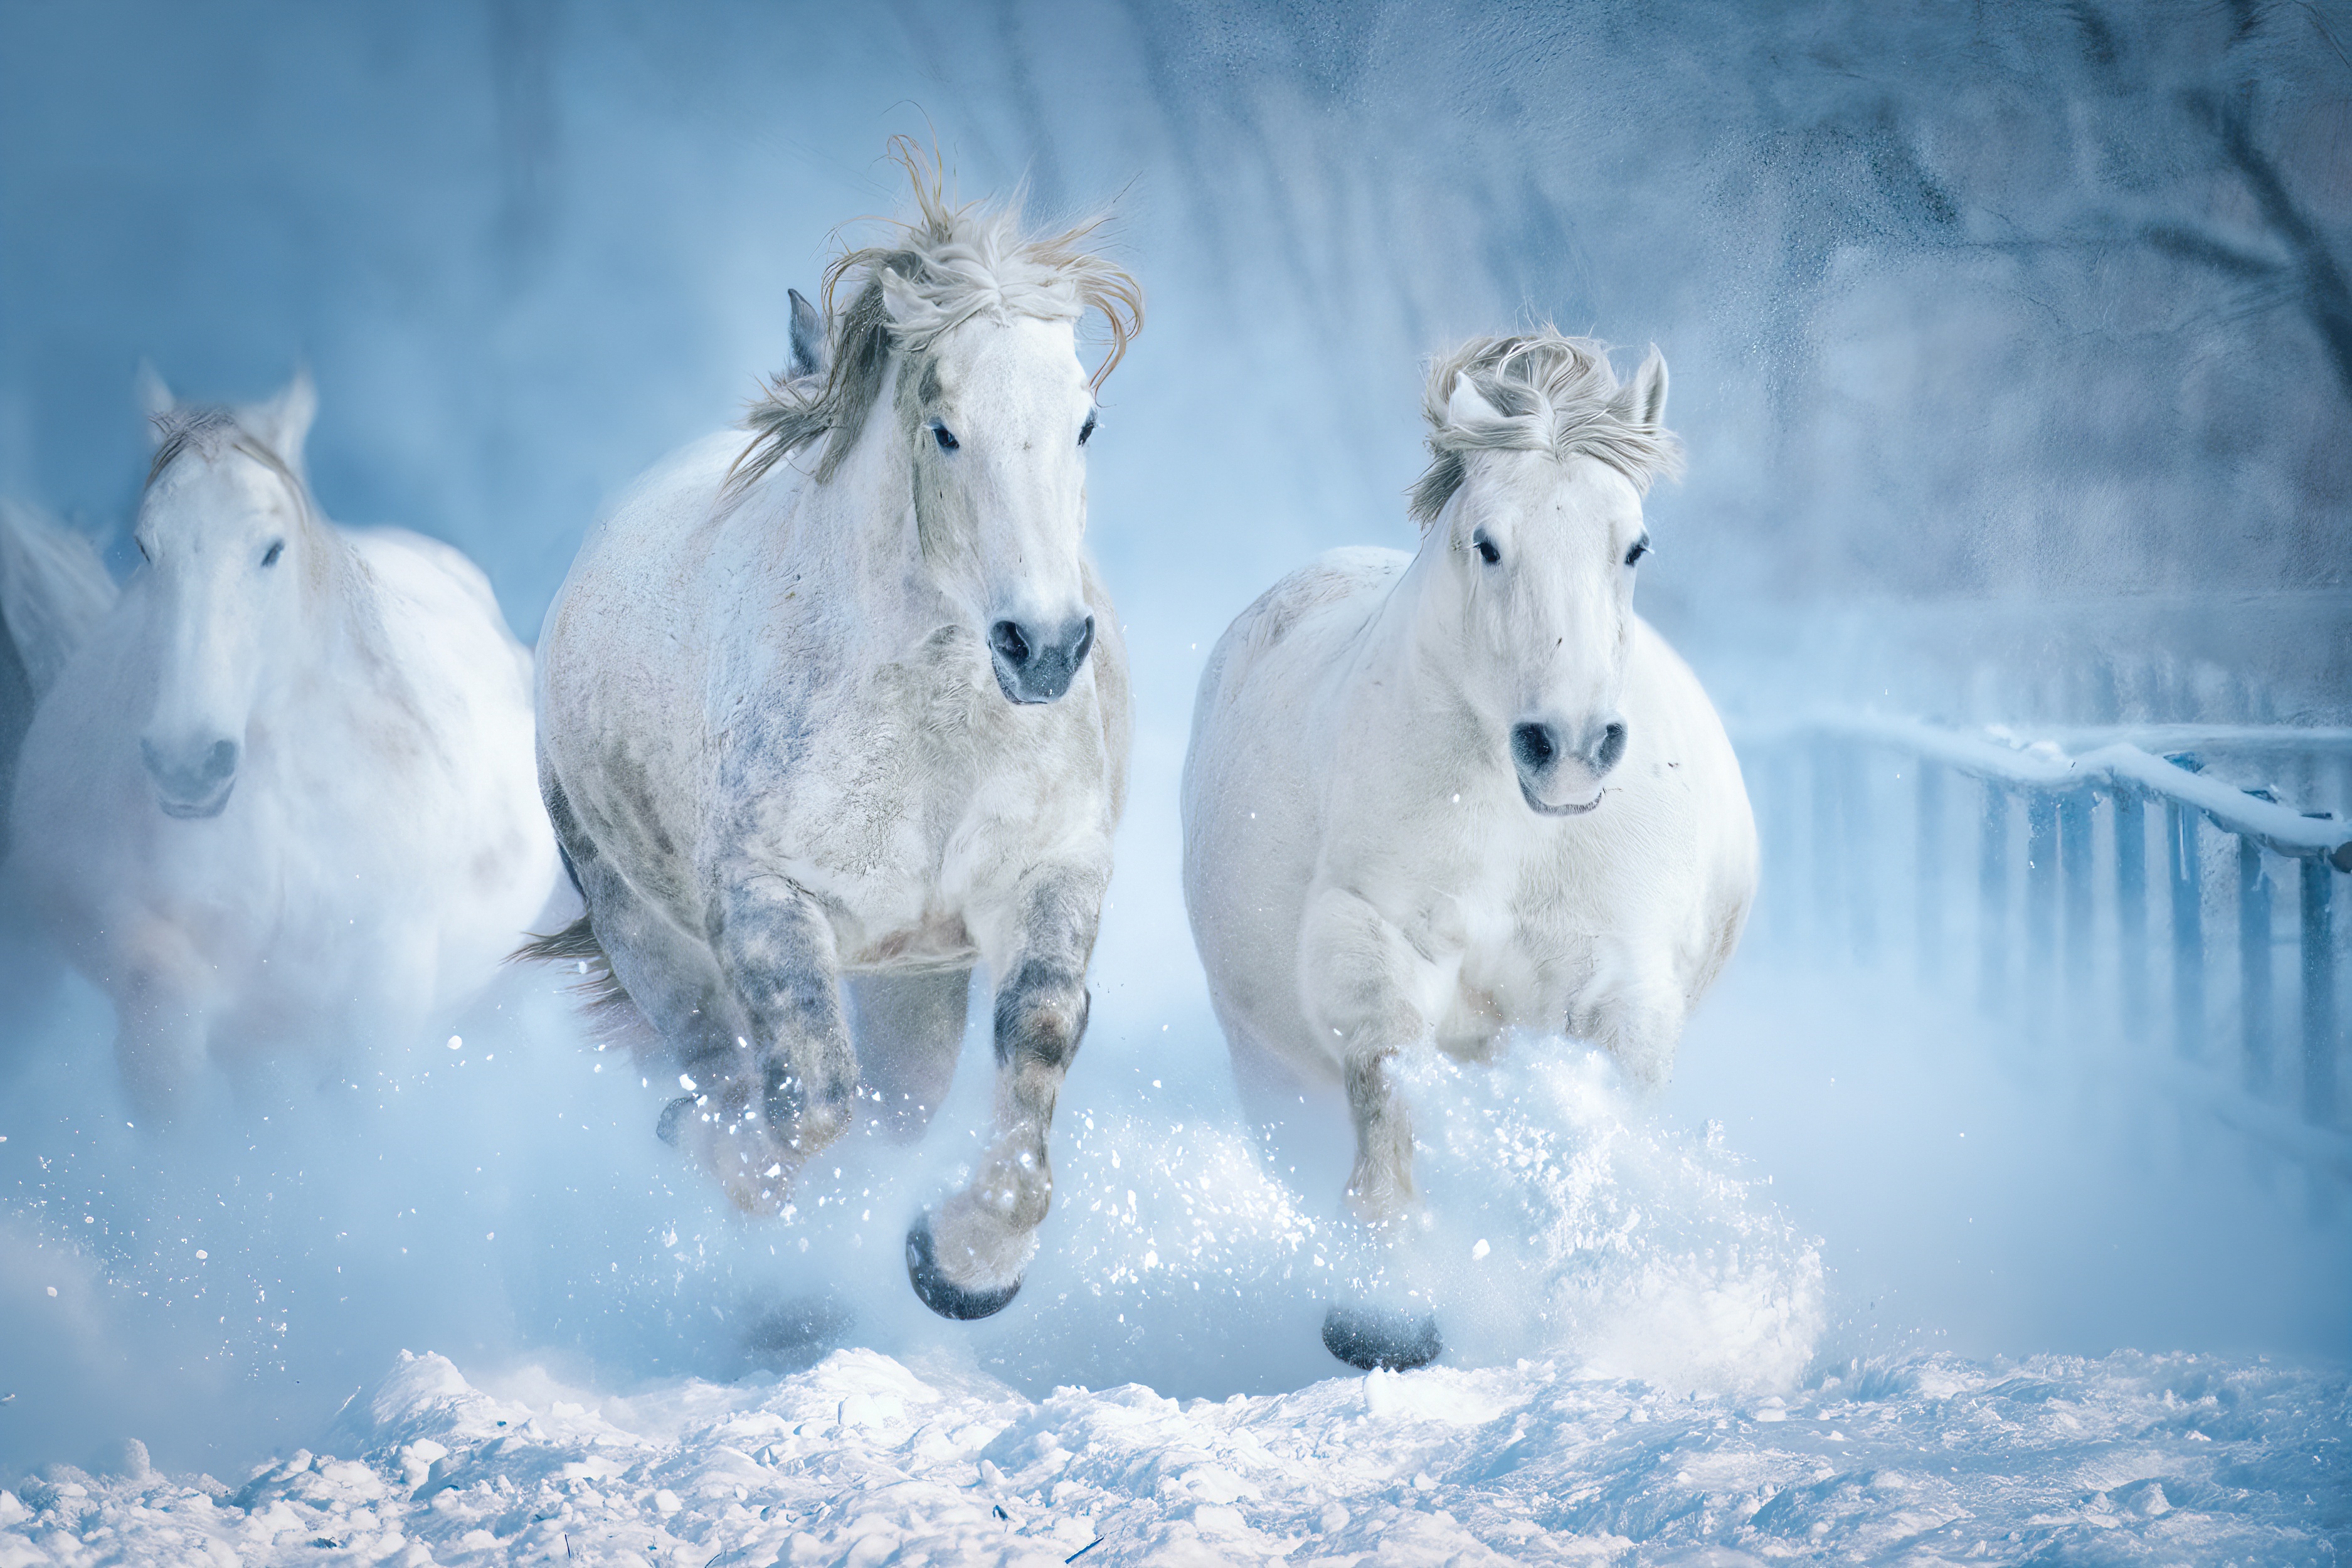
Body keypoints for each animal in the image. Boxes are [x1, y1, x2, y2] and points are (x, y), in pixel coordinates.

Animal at [528, 148, 1141, 1322]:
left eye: (1087, 424)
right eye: (944, 429)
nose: (1042, 647)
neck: (931, 734)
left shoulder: (1050, 871)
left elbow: (1037, 1042)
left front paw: (964, 1264)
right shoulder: (764, 899)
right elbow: (805, 1102)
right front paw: (743, 1177)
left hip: (913, 981)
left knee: (901, 1105)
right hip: (639, 924)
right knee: (721, 1065)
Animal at [1180, 331, 1757, 1370]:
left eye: (1633, 544)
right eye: (1487, 542)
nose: (1567, 746)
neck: (1525, 833)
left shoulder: (1623, 981)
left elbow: (1590, 1131)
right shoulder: (1369, 934)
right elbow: (1386, 1085)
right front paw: (1382, 1312)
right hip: (1267, 1066)